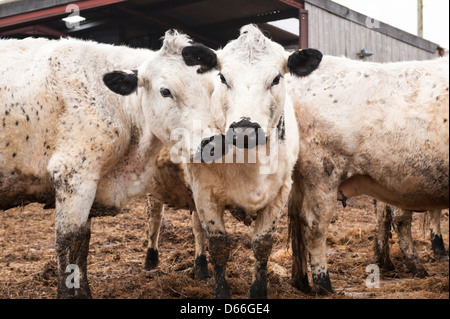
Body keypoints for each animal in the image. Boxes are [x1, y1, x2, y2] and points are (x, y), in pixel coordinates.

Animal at [0, 31, 218, 298]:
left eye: (211, 88)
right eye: (165, 91)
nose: (212, 143)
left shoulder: (91, 182)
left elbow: (82, 243)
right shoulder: (74, 174)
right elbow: (66, 240)